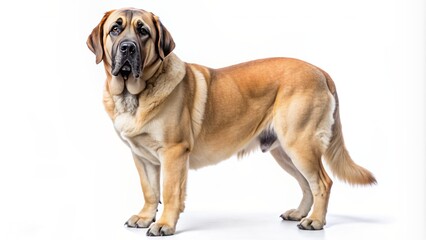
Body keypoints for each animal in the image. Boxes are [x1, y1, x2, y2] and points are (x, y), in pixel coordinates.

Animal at [86, 7, 376, 236]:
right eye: (115, 29)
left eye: (143, 31)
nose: (128, 47)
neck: (134, 94)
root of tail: (321, 71)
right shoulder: (142, 157)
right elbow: (150, 191)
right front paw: (145, 217)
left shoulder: (173, 153)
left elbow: (168, 192)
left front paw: (165, 224)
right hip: (285, 151)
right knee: (307, 185)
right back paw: (300, 213)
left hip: (300, 144)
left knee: (322, 183)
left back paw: (315, 221)